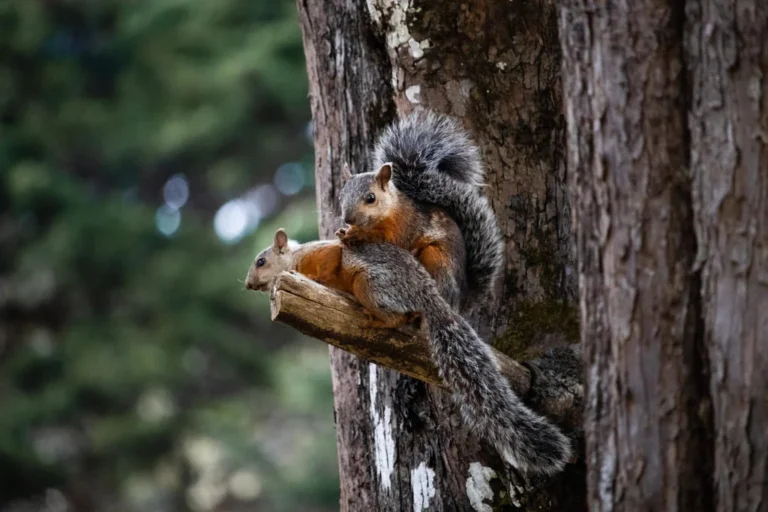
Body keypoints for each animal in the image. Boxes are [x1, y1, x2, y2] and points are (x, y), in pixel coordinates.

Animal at [244, 230, 568, 474]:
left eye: (261, 261)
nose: (247, 285)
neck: (296, 256)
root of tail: (428, 296)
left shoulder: (325, 254)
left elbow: (330, 261)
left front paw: (310, 278)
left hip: (370, 284)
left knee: (394, 316)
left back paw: (374, 317)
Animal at [340, 110, 500, 314]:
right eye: (341, 195)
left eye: (371, 198)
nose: (348, 219)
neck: (388, 211)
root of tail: (460, 302)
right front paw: (346, 231)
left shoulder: (405, 224)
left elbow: (391, 240)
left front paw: (357, 234)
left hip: (435, 258)